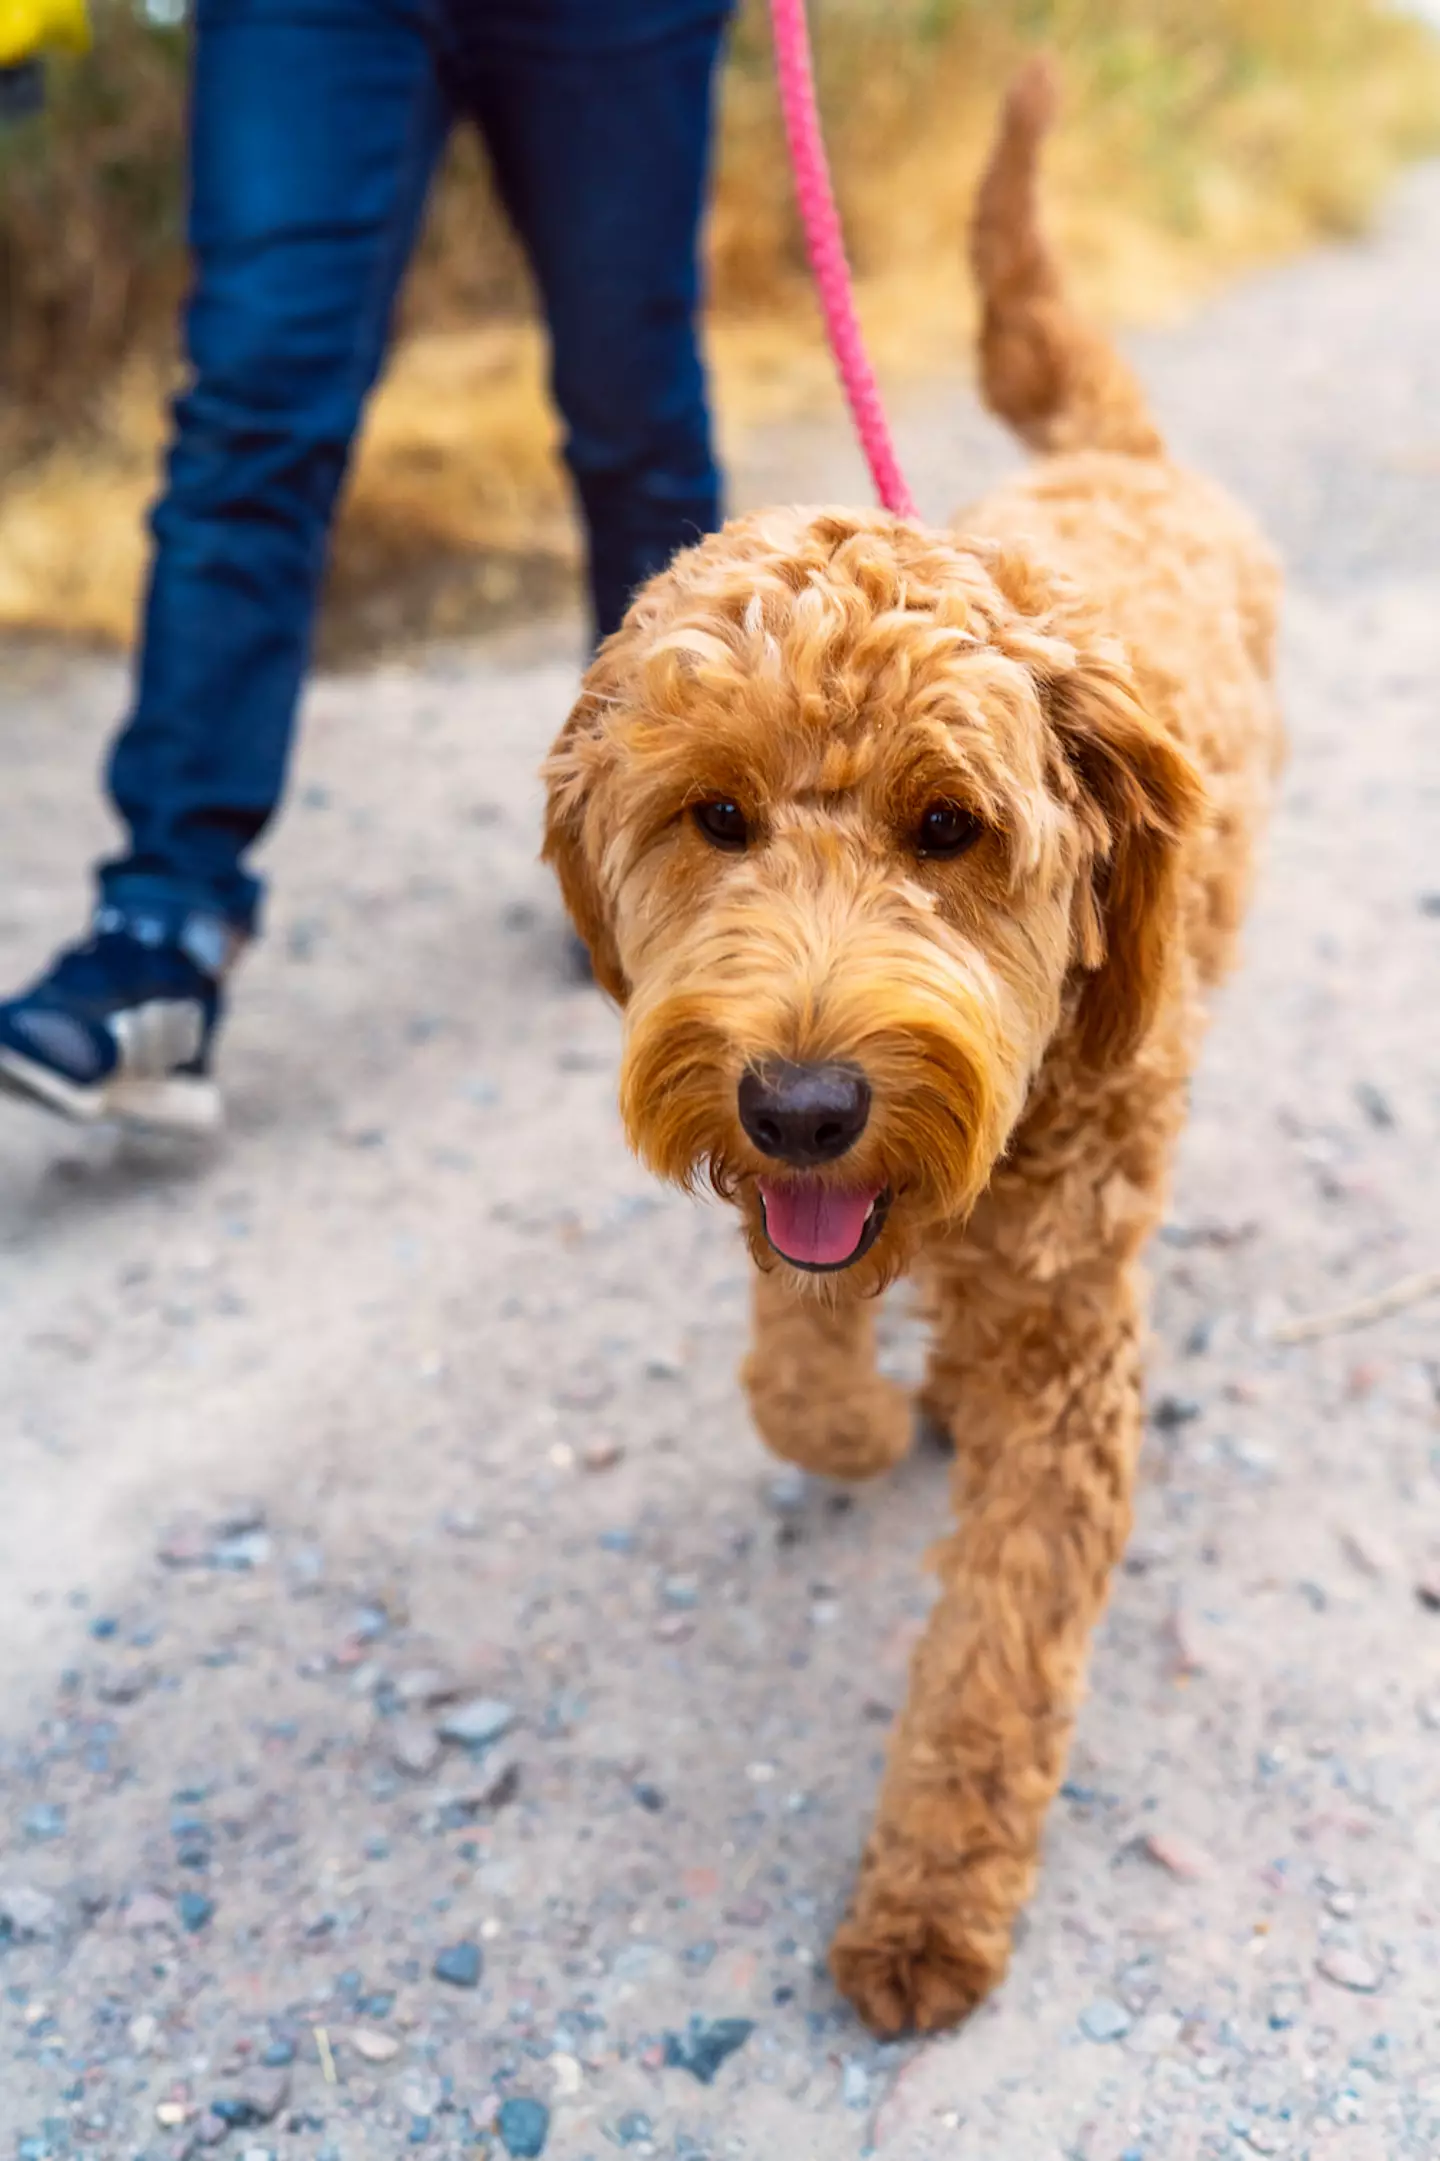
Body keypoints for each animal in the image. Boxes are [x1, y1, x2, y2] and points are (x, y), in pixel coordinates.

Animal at [547, 59, 1280, 2031]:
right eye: (715, 816)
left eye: (950, 828)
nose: (807, 1104)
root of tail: (1117, 455)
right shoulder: (805, 1202)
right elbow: (794, 1364)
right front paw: (859, 1420)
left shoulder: (1076, 1357)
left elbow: (996, 1656)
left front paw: (930, 1907)